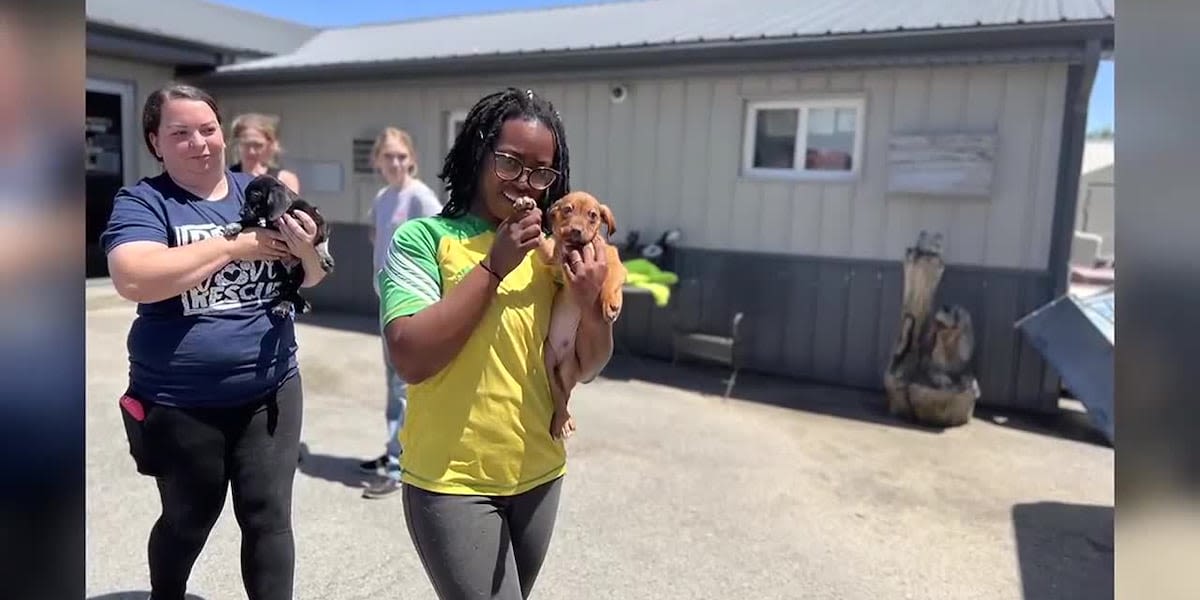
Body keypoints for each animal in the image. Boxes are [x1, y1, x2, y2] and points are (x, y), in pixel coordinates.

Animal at [223, 174, 336, 316]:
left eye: (254, 195)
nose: (241, 213)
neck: (288, 210)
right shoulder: (266, 223)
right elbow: (249, 222)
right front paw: (235, 225)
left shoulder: (318, 220)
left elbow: (321, 240)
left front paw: (325, 259)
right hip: (282, 272)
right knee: (288, 289)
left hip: (299, 273)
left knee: (290, 290)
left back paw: (284, 305)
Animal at [516, 192, 628, 441]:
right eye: (567, 210)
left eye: (593, 216)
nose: (576, 231)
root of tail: (561, 357)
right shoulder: (553, 257)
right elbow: (542, 242)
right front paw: (525, 206)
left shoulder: (612, 260)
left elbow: (612, 278)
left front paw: (611, 303)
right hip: (548, 363)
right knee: (558, 397)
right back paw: (562, 422)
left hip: (567, 370)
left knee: (565, 394)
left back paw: (565, 420)